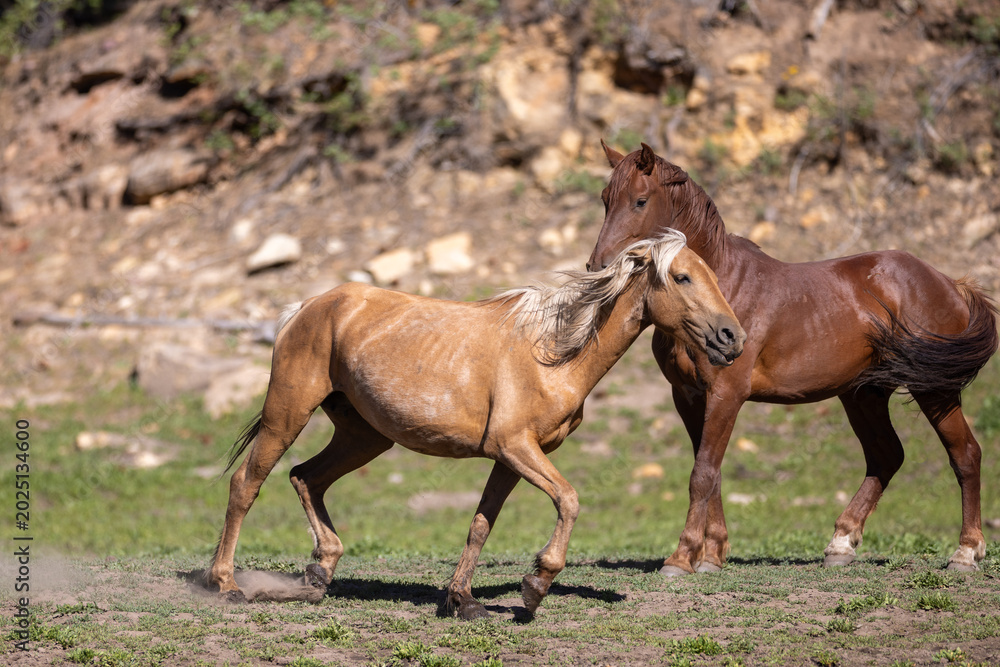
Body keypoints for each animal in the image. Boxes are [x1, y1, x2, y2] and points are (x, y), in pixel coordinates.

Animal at [206, 230, 745, 619]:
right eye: (682, 277)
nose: (732, 338)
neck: (552, 354)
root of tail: (307, 307)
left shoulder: (511, 457)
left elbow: (481, 523)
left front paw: (462, 601)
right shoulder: (514, 447)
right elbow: (569, 501)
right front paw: (535, 587)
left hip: (364, 436)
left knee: (306, 477)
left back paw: (320, 572)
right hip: (288, 413)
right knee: (245, 484)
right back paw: (227, 585)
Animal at [587, 142, 998, 576]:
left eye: (640, 201)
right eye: (605, 199)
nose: (598, 266)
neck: (722, 287)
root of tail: (950, 284)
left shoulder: (726, 394)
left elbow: (703, 473)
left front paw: (682, 557)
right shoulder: (688, 396)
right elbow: (712, 473)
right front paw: (712, 555)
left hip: (934, 390)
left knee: (965, 455)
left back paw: (966, 552)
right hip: (863, 394)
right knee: (887, 455)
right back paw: (841, 544)